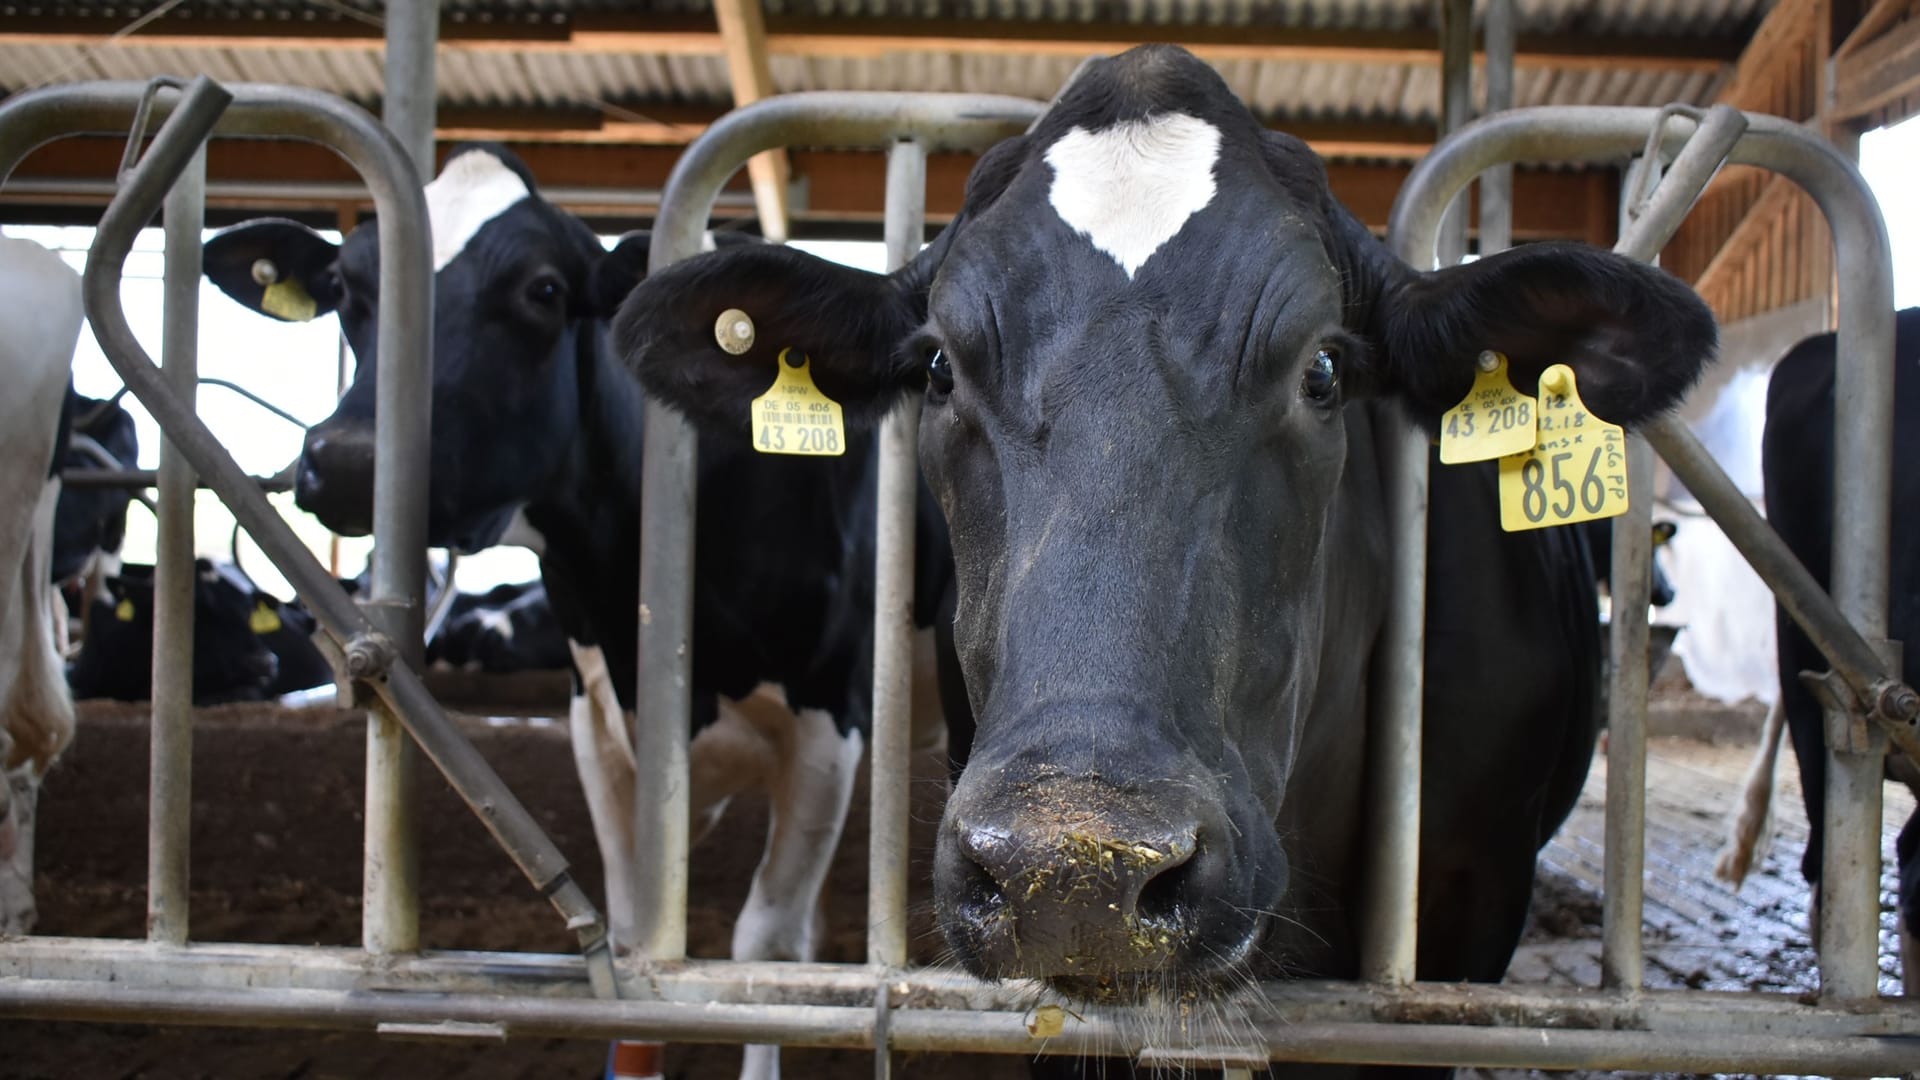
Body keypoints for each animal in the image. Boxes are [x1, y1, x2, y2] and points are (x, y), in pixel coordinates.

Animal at [202, 145, 952, 1076]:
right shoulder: (599, 721)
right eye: (346, 284)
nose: (343, 460)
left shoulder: (828, 722)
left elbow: (767, 956)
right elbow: (640, 952)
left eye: (544, 289)